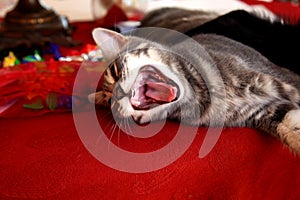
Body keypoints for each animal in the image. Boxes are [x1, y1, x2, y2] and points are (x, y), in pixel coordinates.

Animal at [88, 16, 300, 156]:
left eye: (116, 71)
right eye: (112, 102)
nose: (118, 94)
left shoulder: (278, 79)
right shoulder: (264, 114)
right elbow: (289, 131)